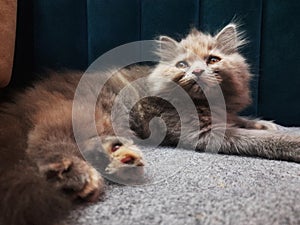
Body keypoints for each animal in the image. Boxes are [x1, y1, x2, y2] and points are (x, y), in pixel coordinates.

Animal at [0, 23, 300, 224]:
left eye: (212, 59)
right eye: (182, 64)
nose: (197, 71)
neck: (205, 103)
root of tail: (22, 100)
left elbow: (242, 121)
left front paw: (264, 123)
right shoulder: (199, 132)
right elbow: (255, 139)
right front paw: (292, 141)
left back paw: (122, 157)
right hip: (84, 113)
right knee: (44, 144)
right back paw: (77, 176)